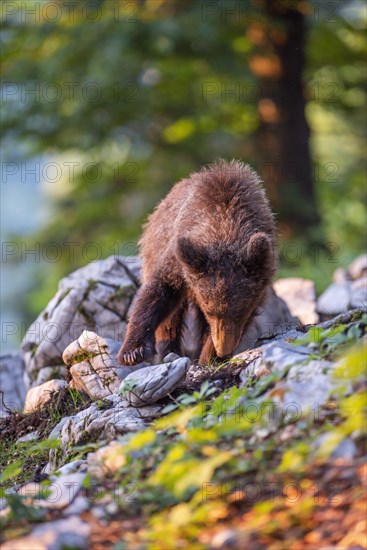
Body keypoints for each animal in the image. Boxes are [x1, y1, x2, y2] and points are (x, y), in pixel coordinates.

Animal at [117, 160, 276, 366]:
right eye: (210, 311)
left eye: (241, 311)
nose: (223, 349)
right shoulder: (181, 259)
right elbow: (157, 292)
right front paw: (132, 351)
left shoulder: (261, 276)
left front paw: (209, 356)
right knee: (171, 319)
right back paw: (169, 349)